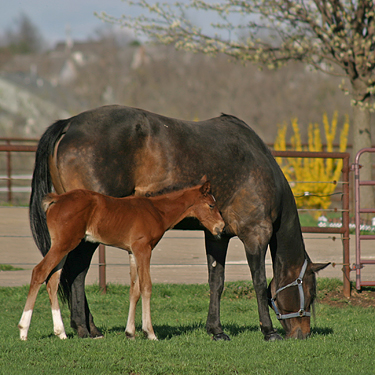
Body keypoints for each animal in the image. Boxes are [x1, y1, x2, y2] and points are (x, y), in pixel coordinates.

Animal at [19, 181, 225, 342]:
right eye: (211, 205)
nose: (221, 227)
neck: (157, 210)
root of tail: (57, 199)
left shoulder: (132, 252)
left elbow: (134, 290)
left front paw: (130, 332)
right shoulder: (143, 249)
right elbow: (146, 286)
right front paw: (150, 332)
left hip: (63, 246)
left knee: (52, 280)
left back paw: (60, 332)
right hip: (64, 244)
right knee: (39, 272)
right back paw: (23, 330)